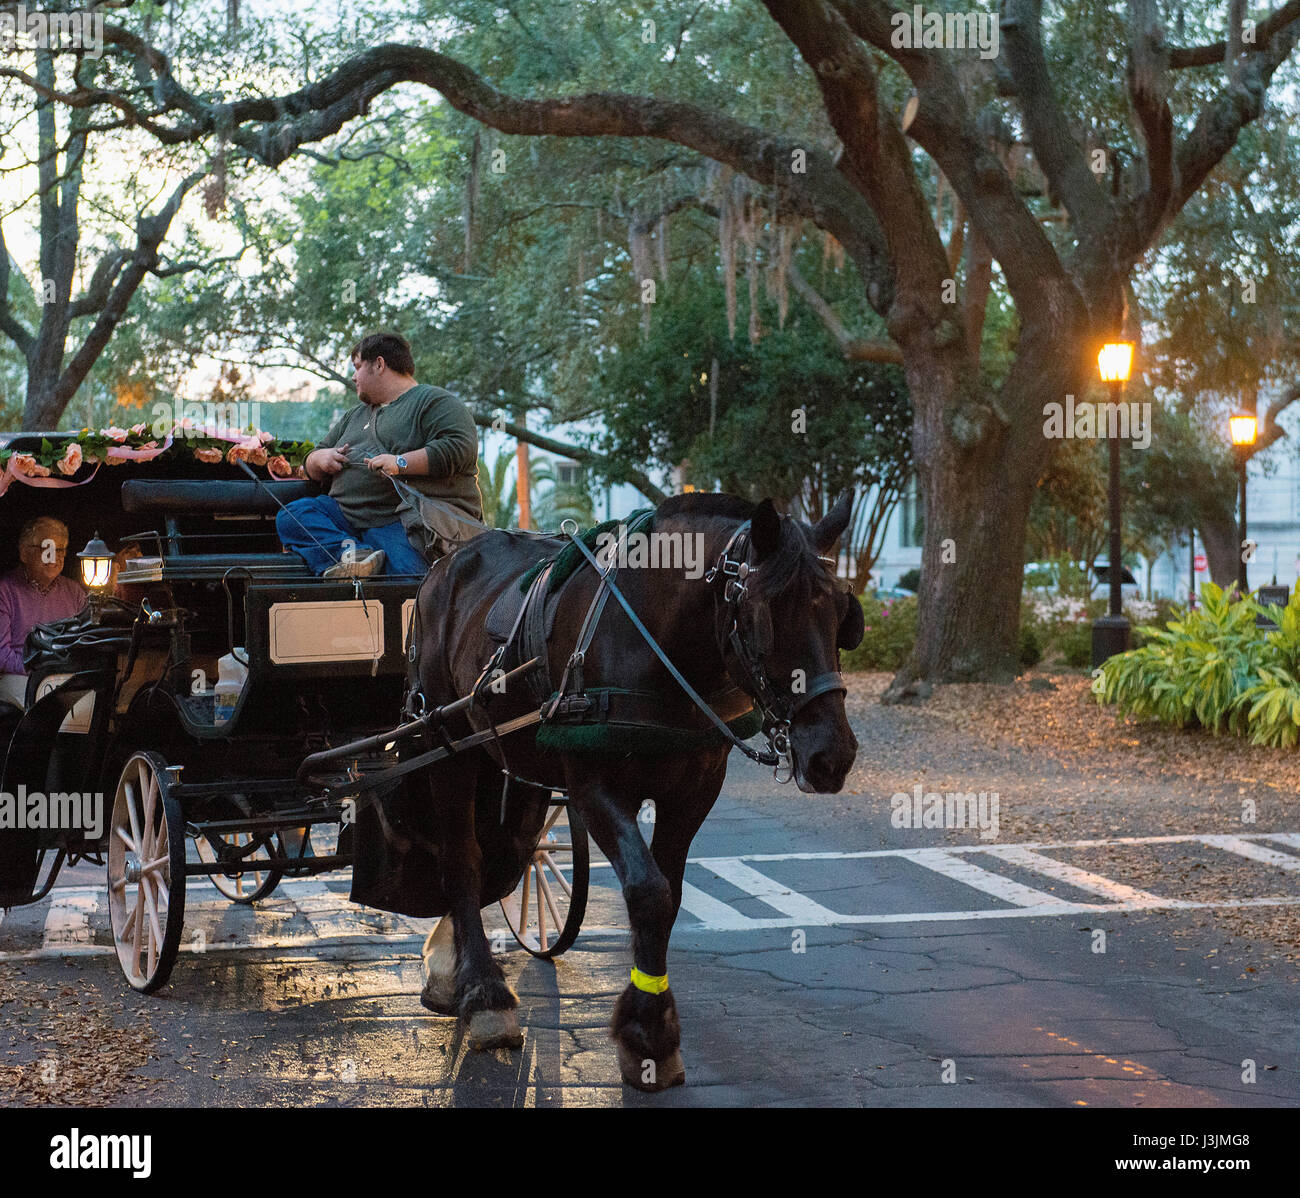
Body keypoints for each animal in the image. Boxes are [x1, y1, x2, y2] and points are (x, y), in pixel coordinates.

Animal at [405, 491, 857, 1086]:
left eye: (842, 614)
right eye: (765, 614)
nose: (833, 754)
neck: (654, 638)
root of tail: (444, 566)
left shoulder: (693, 792)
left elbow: (671, 895)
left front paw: (653, 1033)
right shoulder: (595, 786)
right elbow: (647, 891)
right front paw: (646, 1031)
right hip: (448, 744)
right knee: (463, 858)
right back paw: (482, 993)